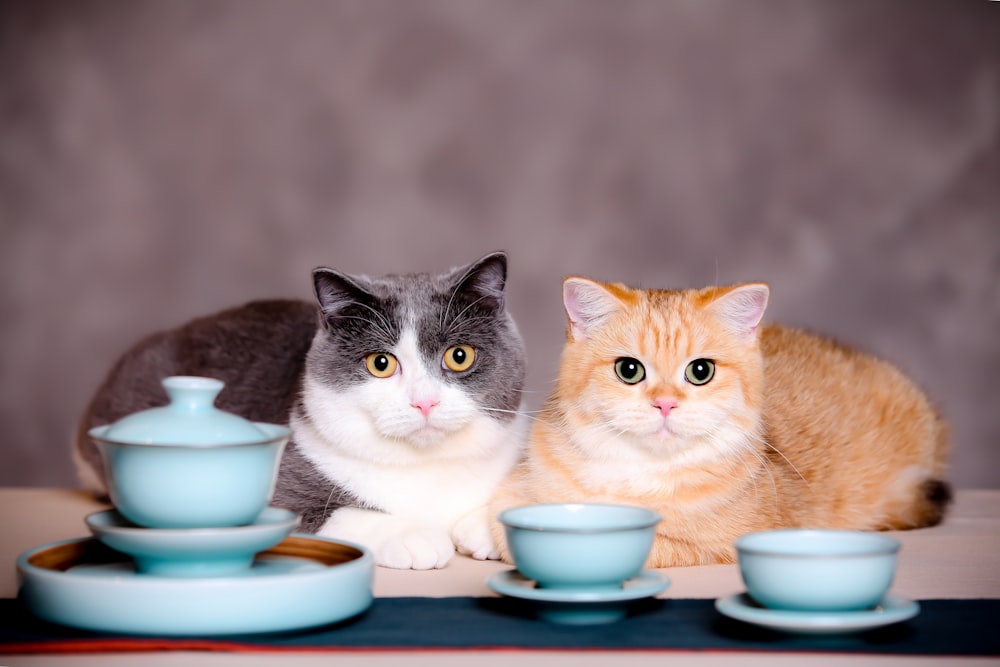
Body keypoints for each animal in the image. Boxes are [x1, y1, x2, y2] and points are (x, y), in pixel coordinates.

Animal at [74, 250, 528, 568]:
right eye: (381, 363)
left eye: (459, 356)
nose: (425, 400)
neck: (427, 467)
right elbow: (340, 511)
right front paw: (412, 536)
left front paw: (487, 522)